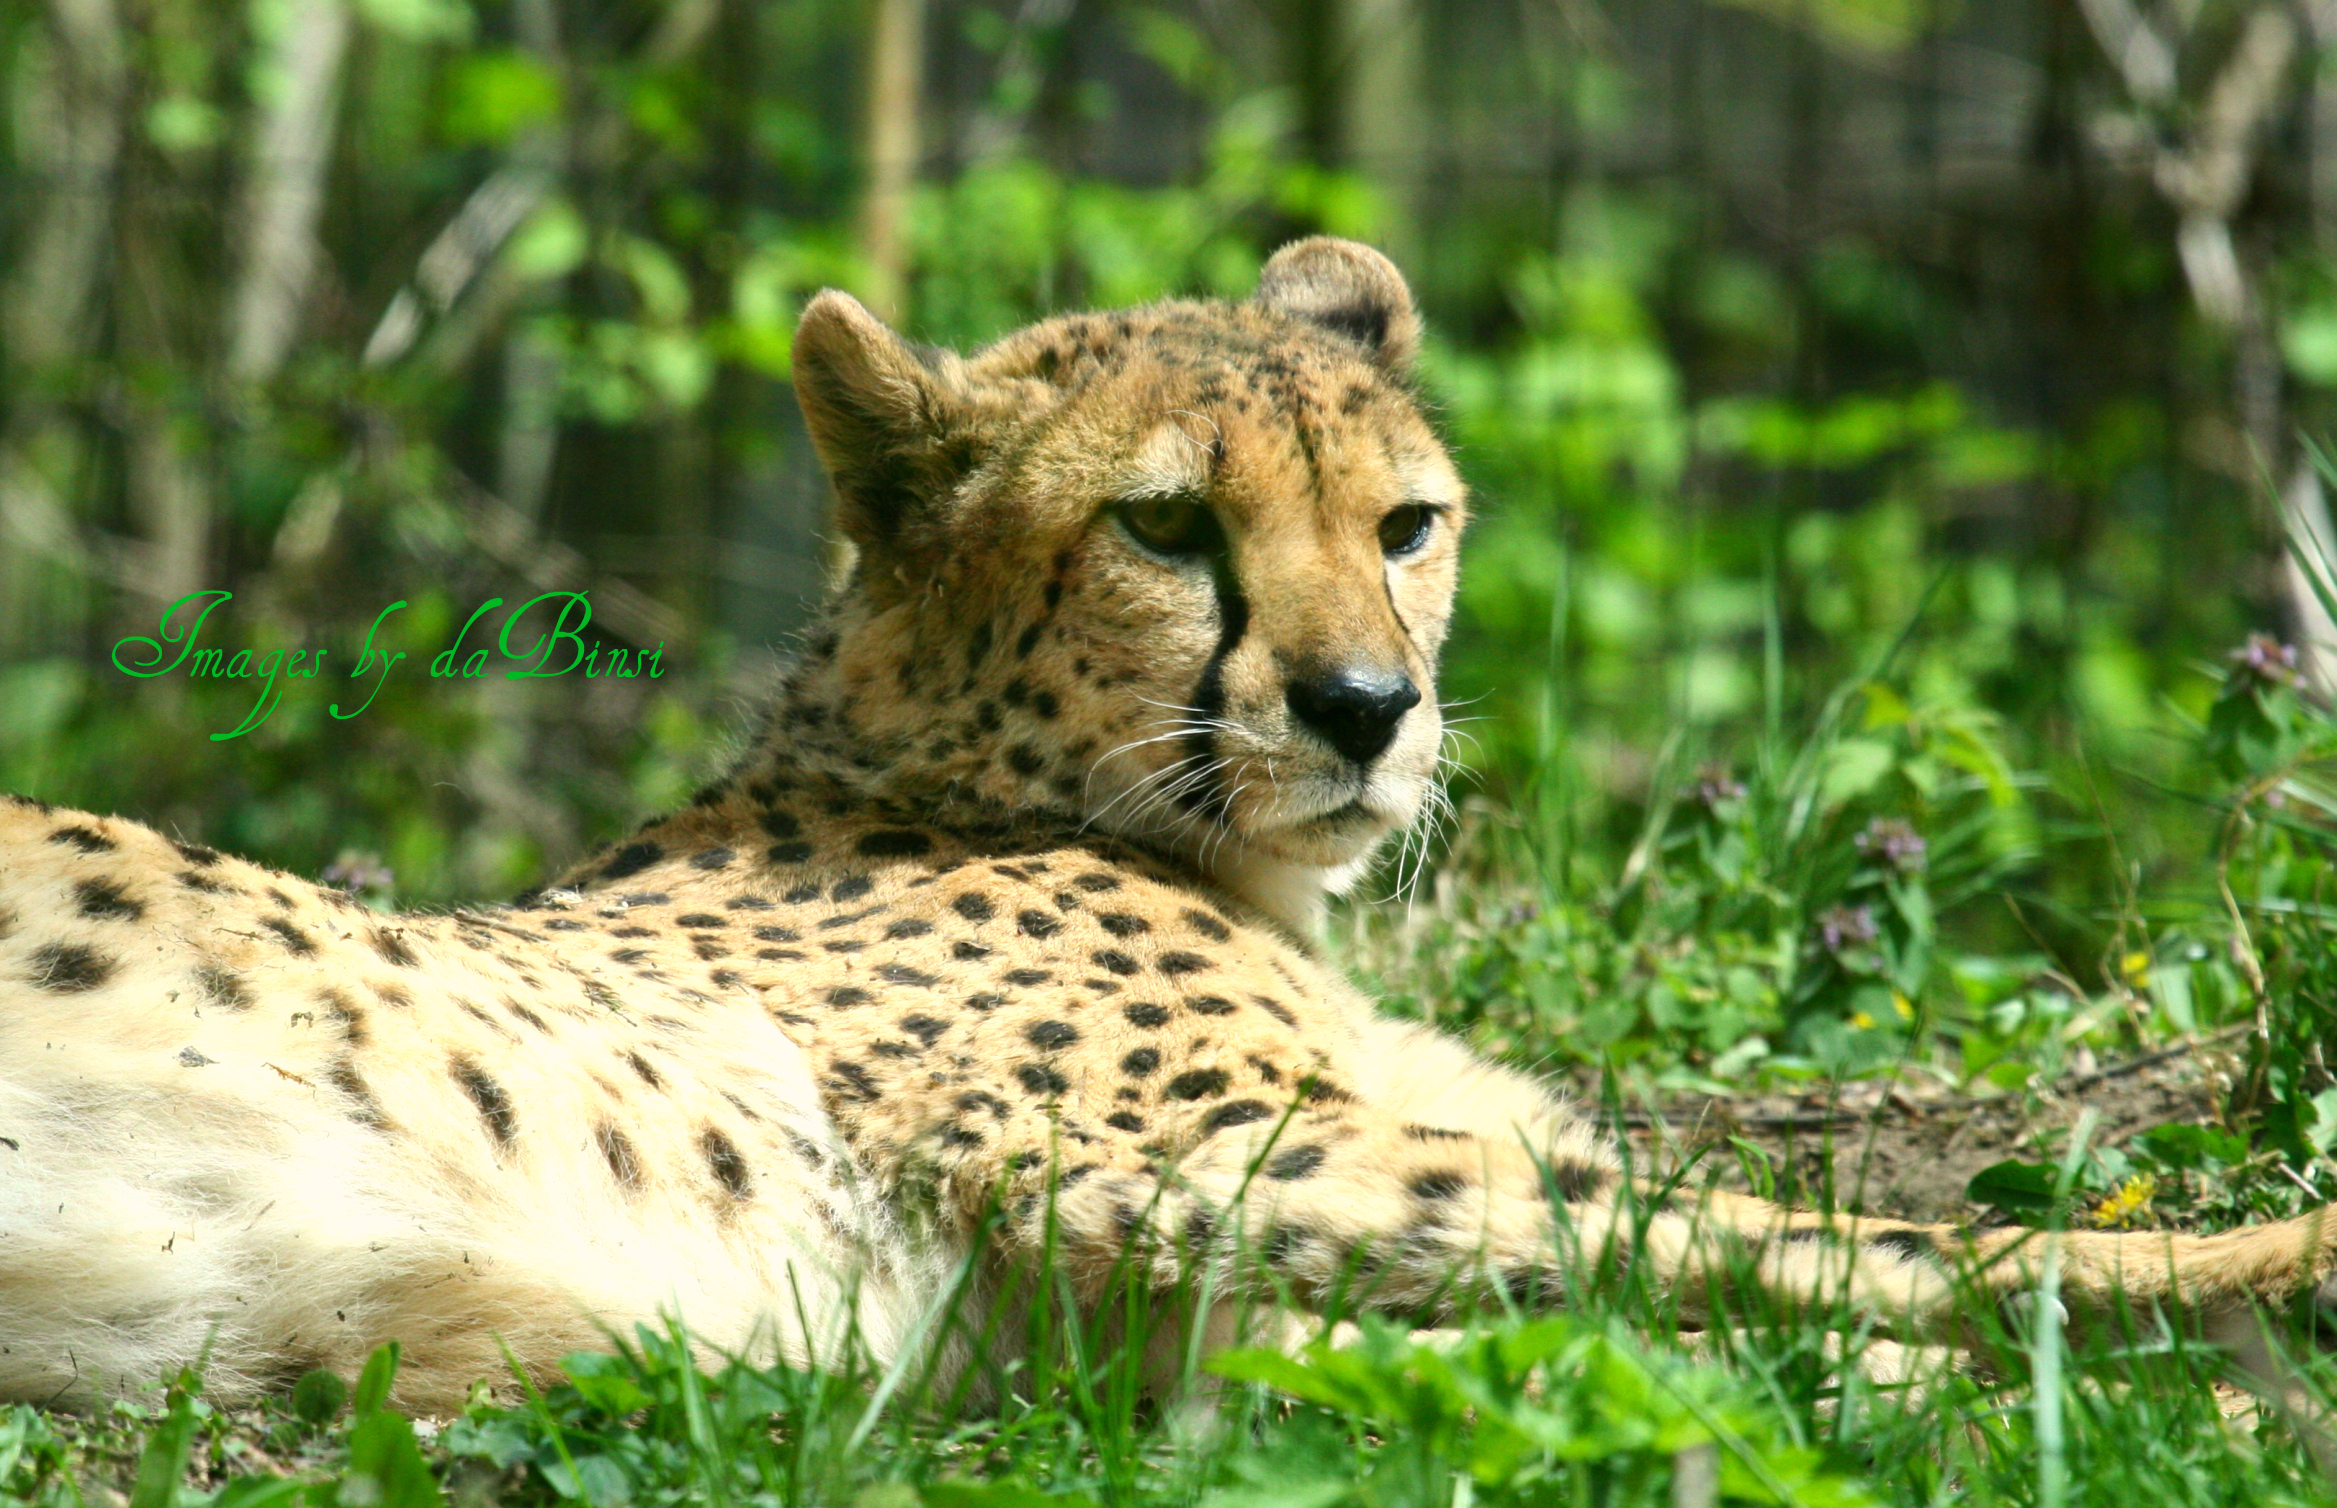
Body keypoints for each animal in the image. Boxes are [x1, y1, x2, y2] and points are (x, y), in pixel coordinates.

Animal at [4, 238, 2337, 1412]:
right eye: (1162, 528)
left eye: (1404, 525)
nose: (1367, 708)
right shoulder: (1121, 1168)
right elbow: (1827, 1244)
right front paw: (2256, 1285)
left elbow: (1713, 1245)